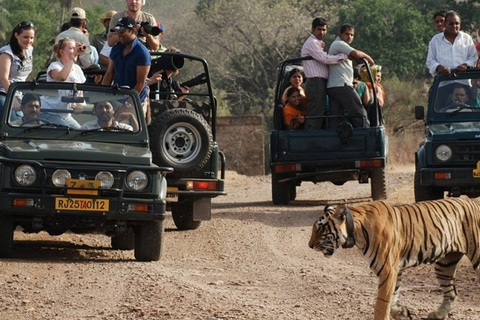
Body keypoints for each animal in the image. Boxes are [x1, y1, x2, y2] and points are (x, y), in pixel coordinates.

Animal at [308, 199, 480, 318]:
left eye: (320, 228)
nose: (310, 245)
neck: (356, 232)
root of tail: (473, 201)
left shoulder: (388, 270)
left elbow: (382, 304)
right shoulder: (395, 270)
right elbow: (392, 300)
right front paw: (403, 313)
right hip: (444, 264)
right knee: (451, 293)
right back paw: (437, 315)